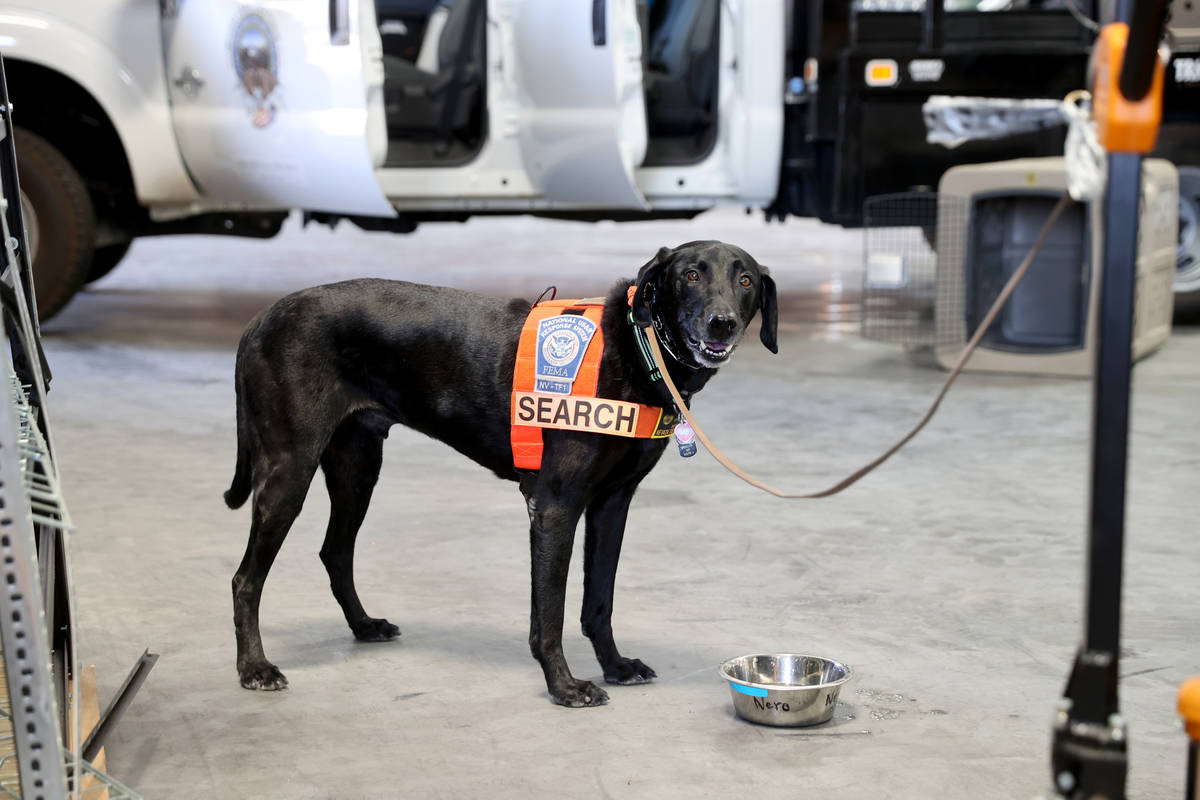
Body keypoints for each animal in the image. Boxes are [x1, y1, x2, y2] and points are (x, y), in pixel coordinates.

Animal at [225, 239, 782, 705]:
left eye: (745, 279)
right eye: (690, 274)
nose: (721, 322)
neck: (634, 347)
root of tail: (261, 319)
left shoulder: (612, 504)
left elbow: (598, 601)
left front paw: (615, 665)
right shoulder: (554, 505)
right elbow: (550, 613)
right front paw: (564, 685)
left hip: (357, 469)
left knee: (335, 552)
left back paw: (363, 626)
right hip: (289, 471)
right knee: (245, 579)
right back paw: (254, 667)